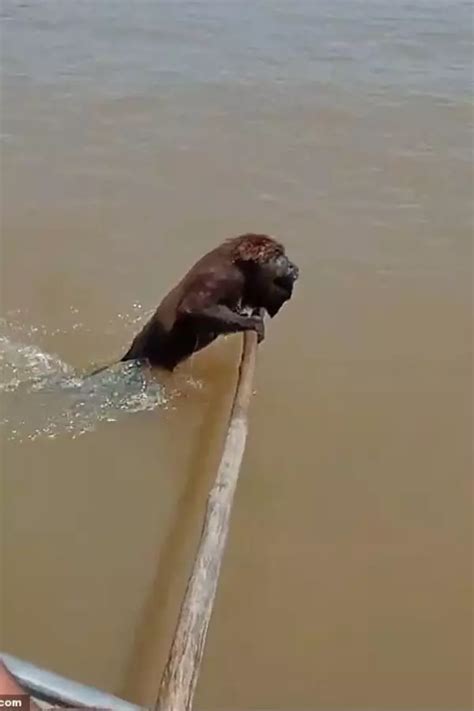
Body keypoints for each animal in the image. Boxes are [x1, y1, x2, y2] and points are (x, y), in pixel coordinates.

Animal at [94, 234, 299, 374]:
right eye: (278, 255)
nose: (293, 266)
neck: (242, 266)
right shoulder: (223, 278)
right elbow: (193, 307)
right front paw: (255, 323)